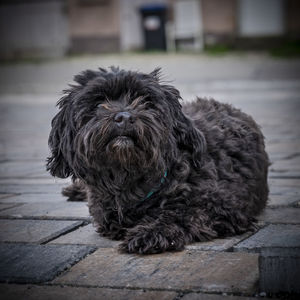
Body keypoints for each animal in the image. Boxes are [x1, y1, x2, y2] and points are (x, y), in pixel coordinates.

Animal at [47, 67, 270, 253]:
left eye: (146, 102)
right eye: (99, 103)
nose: (124, 117)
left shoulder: (224, 207)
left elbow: (183, 213)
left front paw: (150, 233)